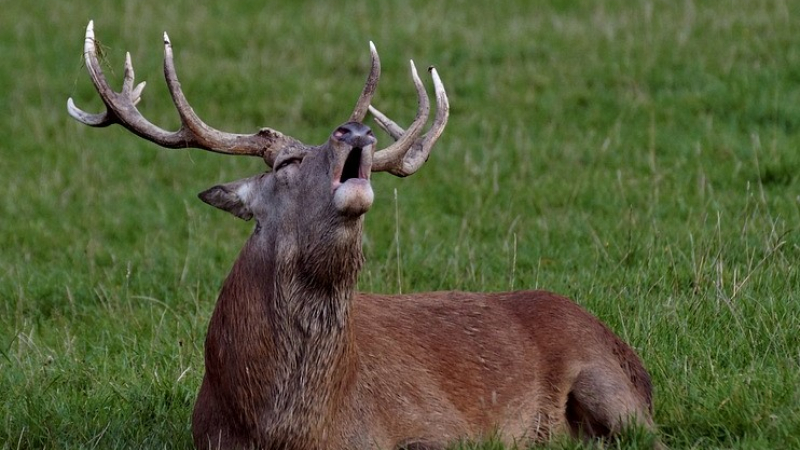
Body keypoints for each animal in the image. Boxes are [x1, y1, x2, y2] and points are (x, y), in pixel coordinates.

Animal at [68, 21, 660, 450]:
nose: (355, 130)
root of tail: (630, 355)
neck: (293, 430)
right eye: (286, 162)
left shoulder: (436, 428)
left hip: (609, 385)